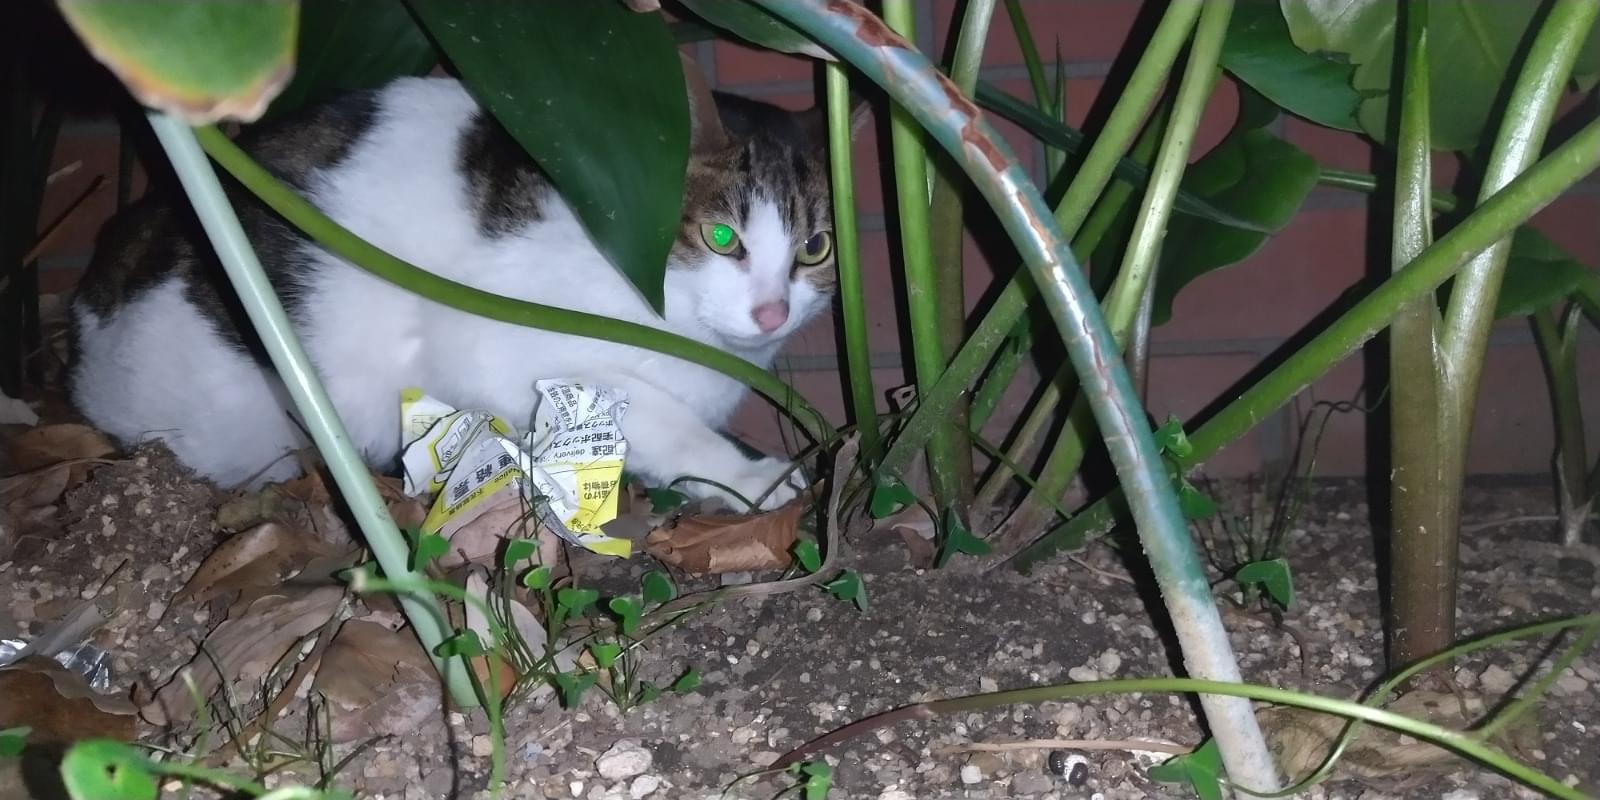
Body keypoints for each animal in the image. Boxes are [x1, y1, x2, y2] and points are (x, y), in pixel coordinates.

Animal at [68, 66, 861, 511]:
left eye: (816, 248)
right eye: (723, 237)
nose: (772, 311)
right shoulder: (504, 348)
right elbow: (666, 424)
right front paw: (751, 478)